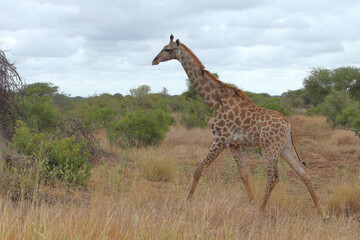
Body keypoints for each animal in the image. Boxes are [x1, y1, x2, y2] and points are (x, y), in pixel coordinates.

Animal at [152, 34, 330, 220]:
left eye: (167, 49)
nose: (154, 60)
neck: (214, 102)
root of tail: (288, 124)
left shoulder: (220, 139)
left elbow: (199, 168)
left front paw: (186, 203)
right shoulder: (233, 144)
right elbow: (244, 174)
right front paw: (251, 203)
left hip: (269, 146)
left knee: (274, 176)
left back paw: (262, 210)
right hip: (284, 147)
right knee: (303, 172)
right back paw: (322, 213)